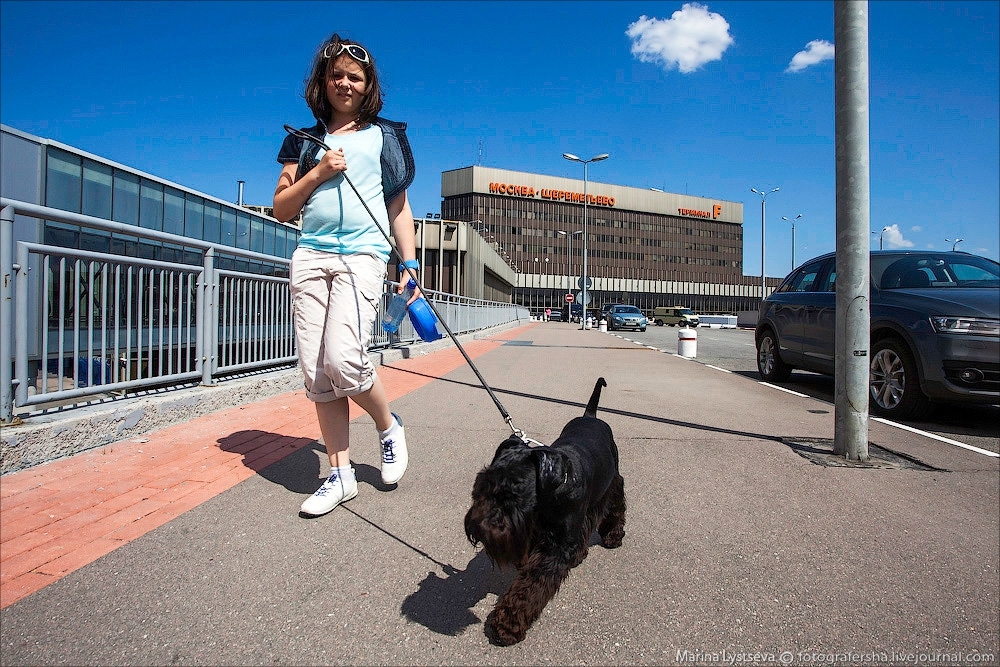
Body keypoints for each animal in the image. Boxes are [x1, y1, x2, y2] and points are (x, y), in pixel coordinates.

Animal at [462, 380, 624, 648]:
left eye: (514, 493)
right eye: (482, 485)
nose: (477, 525)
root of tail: (590, 416)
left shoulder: (554, 548)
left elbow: (530, 587)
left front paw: (506, 625)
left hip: (613, 482)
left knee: (615, 507)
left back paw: (613, 536)